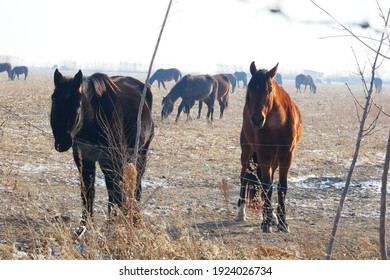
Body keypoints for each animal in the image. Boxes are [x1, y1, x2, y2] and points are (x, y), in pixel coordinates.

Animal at [51, 69, 155, 223]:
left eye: (77, 105)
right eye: (54, 101)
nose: (62, 142)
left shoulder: (112, 160)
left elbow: (115, 191)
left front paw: (113, 222)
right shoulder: (85, 160)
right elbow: (87, 192)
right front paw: (85, 225)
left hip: (141, 154)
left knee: (135, 186)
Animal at [236, 62, 304, 233]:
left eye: (270, 89)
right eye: (250, 88)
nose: (257, 119)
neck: (277, 125)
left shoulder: (286, 156)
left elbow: (281, 187)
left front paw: (282, 222)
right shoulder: (264, 155)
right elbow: (267, 186)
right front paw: (266, 222)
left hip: (274, 160)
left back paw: (273, 216)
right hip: (247, 152)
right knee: (244, 177)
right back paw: (241, 212)